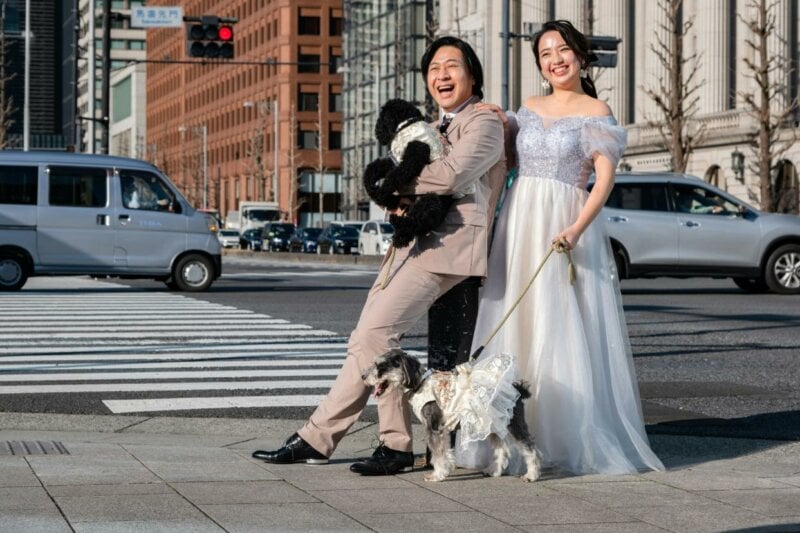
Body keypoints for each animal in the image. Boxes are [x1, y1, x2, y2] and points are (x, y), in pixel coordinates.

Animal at [362, 348, 544, 480]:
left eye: (380, 365)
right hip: (491, 424)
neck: (419, 384)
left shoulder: (434, 427)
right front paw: (443, 470)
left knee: (529, 448)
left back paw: (531, 475)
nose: (363, 376)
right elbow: (443, 452)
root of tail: (516, 388)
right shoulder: (441, 429)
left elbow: (438, 453)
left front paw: (437, 475)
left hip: (513, 424)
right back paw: (494, 471)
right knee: (502, 449)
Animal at [364, 97, 454, 247]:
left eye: (382, 116)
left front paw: (382, 191)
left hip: (434, 199)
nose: (377, 130)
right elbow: (377, 167)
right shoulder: (396, 159)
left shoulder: (413, 157)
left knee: (419, 220)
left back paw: (398, 226)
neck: (406, 125)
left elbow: (396, 175)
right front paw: (370, 186)